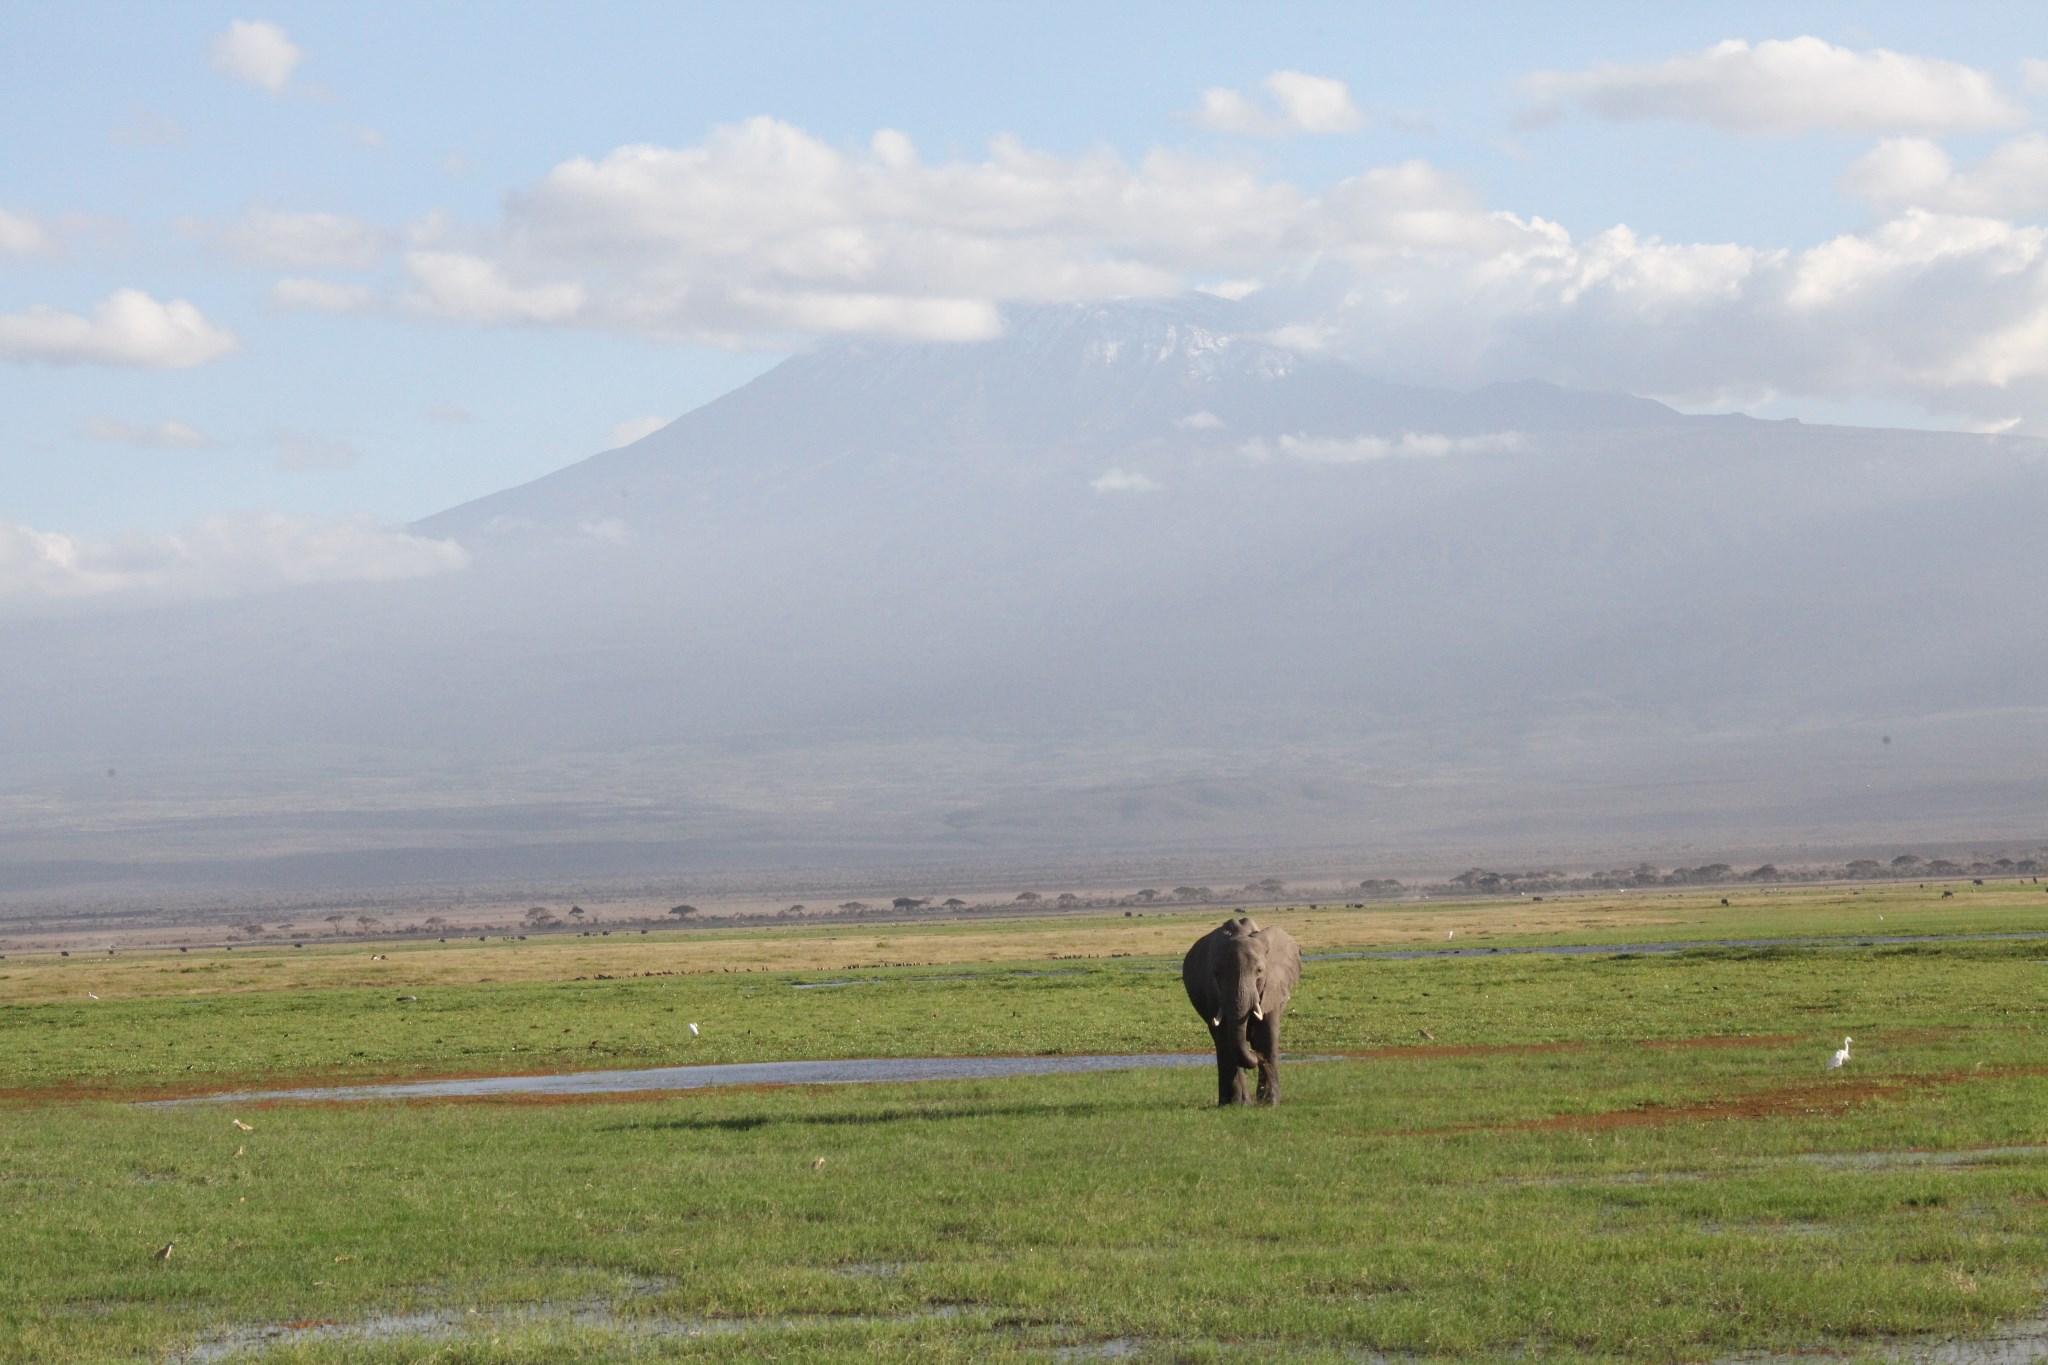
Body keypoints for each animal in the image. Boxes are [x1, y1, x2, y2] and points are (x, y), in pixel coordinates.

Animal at [1179, 916, 1302, 1096]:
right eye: (1217, 974)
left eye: (1259, 971)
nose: (1256, 1055)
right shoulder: (1213, 995)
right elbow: (1225, 1037)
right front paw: (1237, 1102)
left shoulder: (1273, 985)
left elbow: (1267, 1034)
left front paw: (1269, 1101)